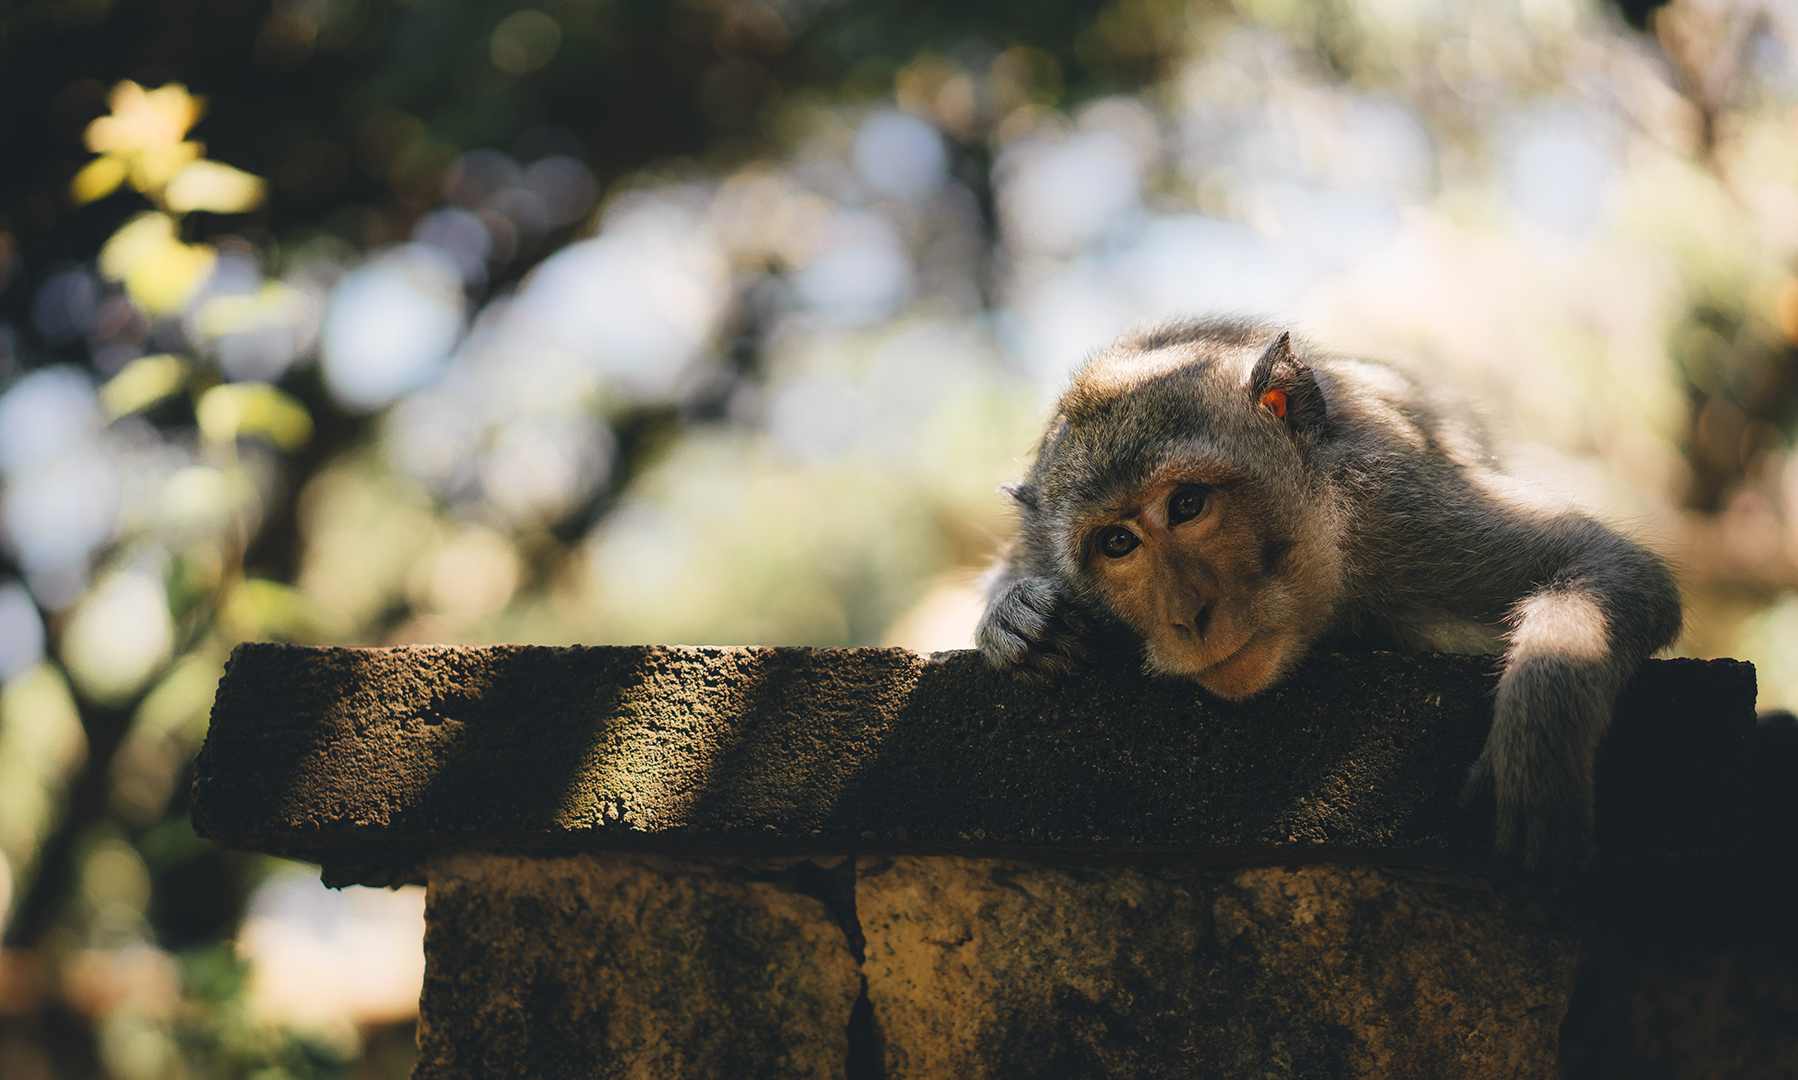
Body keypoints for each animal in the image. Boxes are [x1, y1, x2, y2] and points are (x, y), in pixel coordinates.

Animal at [978, 316, 1675, 873]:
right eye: (1118, 543)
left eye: (1187, 505)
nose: (1187, 617)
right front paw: (1019, 621)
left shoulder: (1396, 508)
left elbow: (1608, 564)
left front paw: (1537, 753)